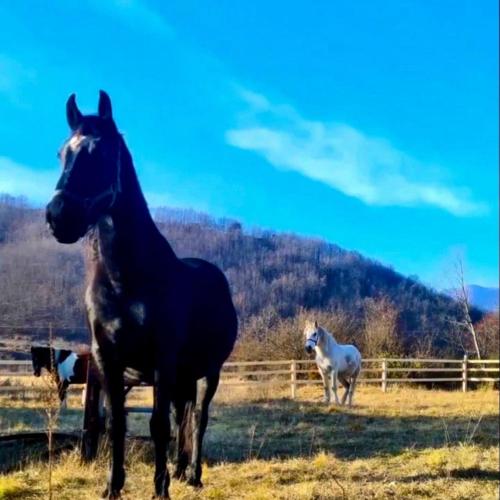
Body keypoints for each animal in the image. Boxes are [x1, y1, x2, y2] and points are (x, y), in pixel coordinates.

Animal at [45, 91, 237, 499]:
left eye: (102, 152)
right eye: (61, 153)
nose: (58, 216)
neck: (125, 280)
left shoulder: (162, 357)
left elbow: (158, 426)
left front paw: (160, 490)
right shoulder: (108, 359)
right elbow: (117, 423)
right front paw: (112, 487)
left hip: (208, 371)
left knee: (197, 418)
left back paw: (193, 474)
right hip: (183, 375)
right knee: (183, 415)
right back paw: (179, 470)